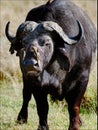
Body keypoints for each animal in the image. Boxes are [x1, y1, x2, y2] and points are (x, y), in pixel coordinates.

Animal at [5, 0, 96, 130]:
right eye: (24, 42)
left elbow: (74, 107)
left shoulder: (82, 80)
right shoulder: (35, 83)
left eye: (47, 43)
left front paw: (75, 125)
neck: (56, 73)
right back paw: (21, 118)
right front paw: (43, 127)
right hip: (25, 77)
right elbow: (42, 108)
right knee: (26, 95)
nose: (29, 64)